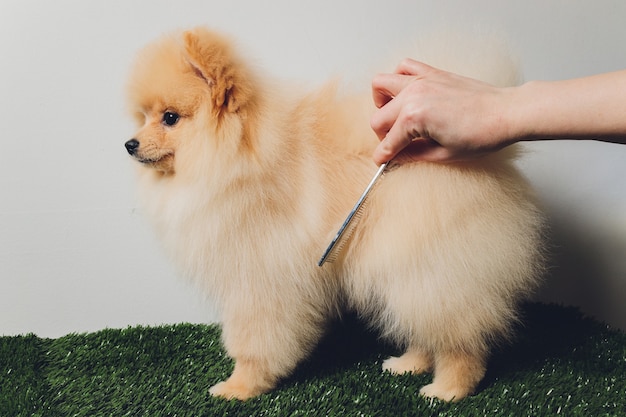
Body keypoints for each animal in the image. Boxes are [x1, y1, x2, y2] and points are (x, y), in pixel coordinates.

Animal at [124, 27, 544, 402]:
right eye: (142, 117)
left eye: (170, 118)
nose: (129, 144)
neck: (236, 158)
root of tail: (493, 159)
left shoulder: (258, 280)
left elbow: (255, 341)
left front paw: (240, 387)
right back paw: (410, 363)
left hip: (432, 264)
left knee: (459, 336)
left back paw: (448, 389)